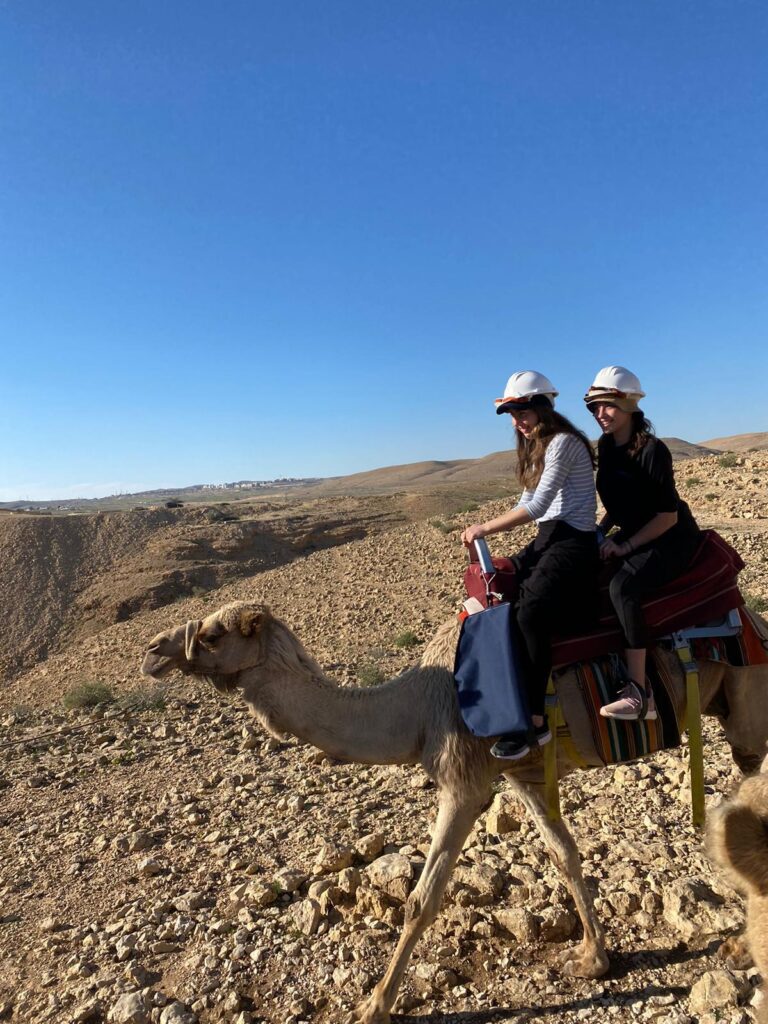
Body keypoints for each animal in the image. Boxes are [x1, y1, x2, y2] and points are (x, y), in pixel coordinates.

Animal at [141, 598, 768, 1024]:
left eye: (214, 634)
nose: (152, 650)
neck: (420, 706)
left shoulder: (463, 782)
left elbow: (421, 899)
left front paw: (374, 1005)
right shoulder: (516, 773)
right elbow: (563, 854)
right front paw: (594, 959)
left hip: (747, 709)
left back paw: (739, 946)